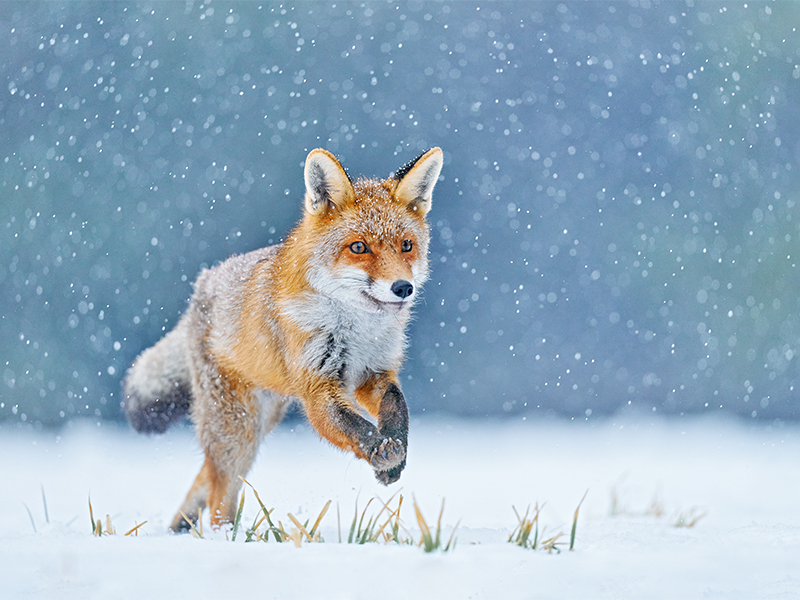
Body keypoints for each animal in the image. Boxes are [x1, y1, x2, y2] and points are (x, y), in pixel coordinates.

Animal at [123, 148, 444, 532]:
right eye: (359, 247)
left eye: (407, 246)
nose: (403, 288)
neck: (357, 330)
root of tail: (202, 286)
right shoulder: (317, 387)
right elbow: (353, 427)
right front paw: (380, 452)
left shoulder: (375, 372)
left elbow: (398, 409)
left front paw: (396, 454)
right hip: (237, 429)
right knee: (219, 495)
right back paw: (222, 537)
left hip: (259, 422)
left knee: (206, 479)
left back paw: (178, 529)